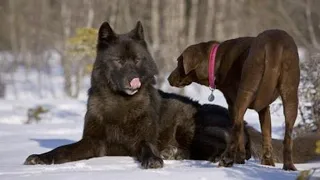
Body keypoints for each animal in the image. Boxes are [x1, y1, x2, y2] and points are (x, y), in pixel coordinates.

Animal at [168, 29, 300, 170]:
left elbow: (240, 132)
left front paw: (239, 159)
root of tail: (273, 44)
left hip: (246, 90)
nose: (169, 78)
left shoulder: (232, 103)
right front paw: (267, 163)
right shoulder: (264, 108)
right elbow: (266, 133)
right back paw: (288, 166)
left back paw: (227, 159)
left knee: (236, 128)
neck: (216, 60)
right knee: (288, 134)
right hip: (290, 93)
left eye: (178, 61)